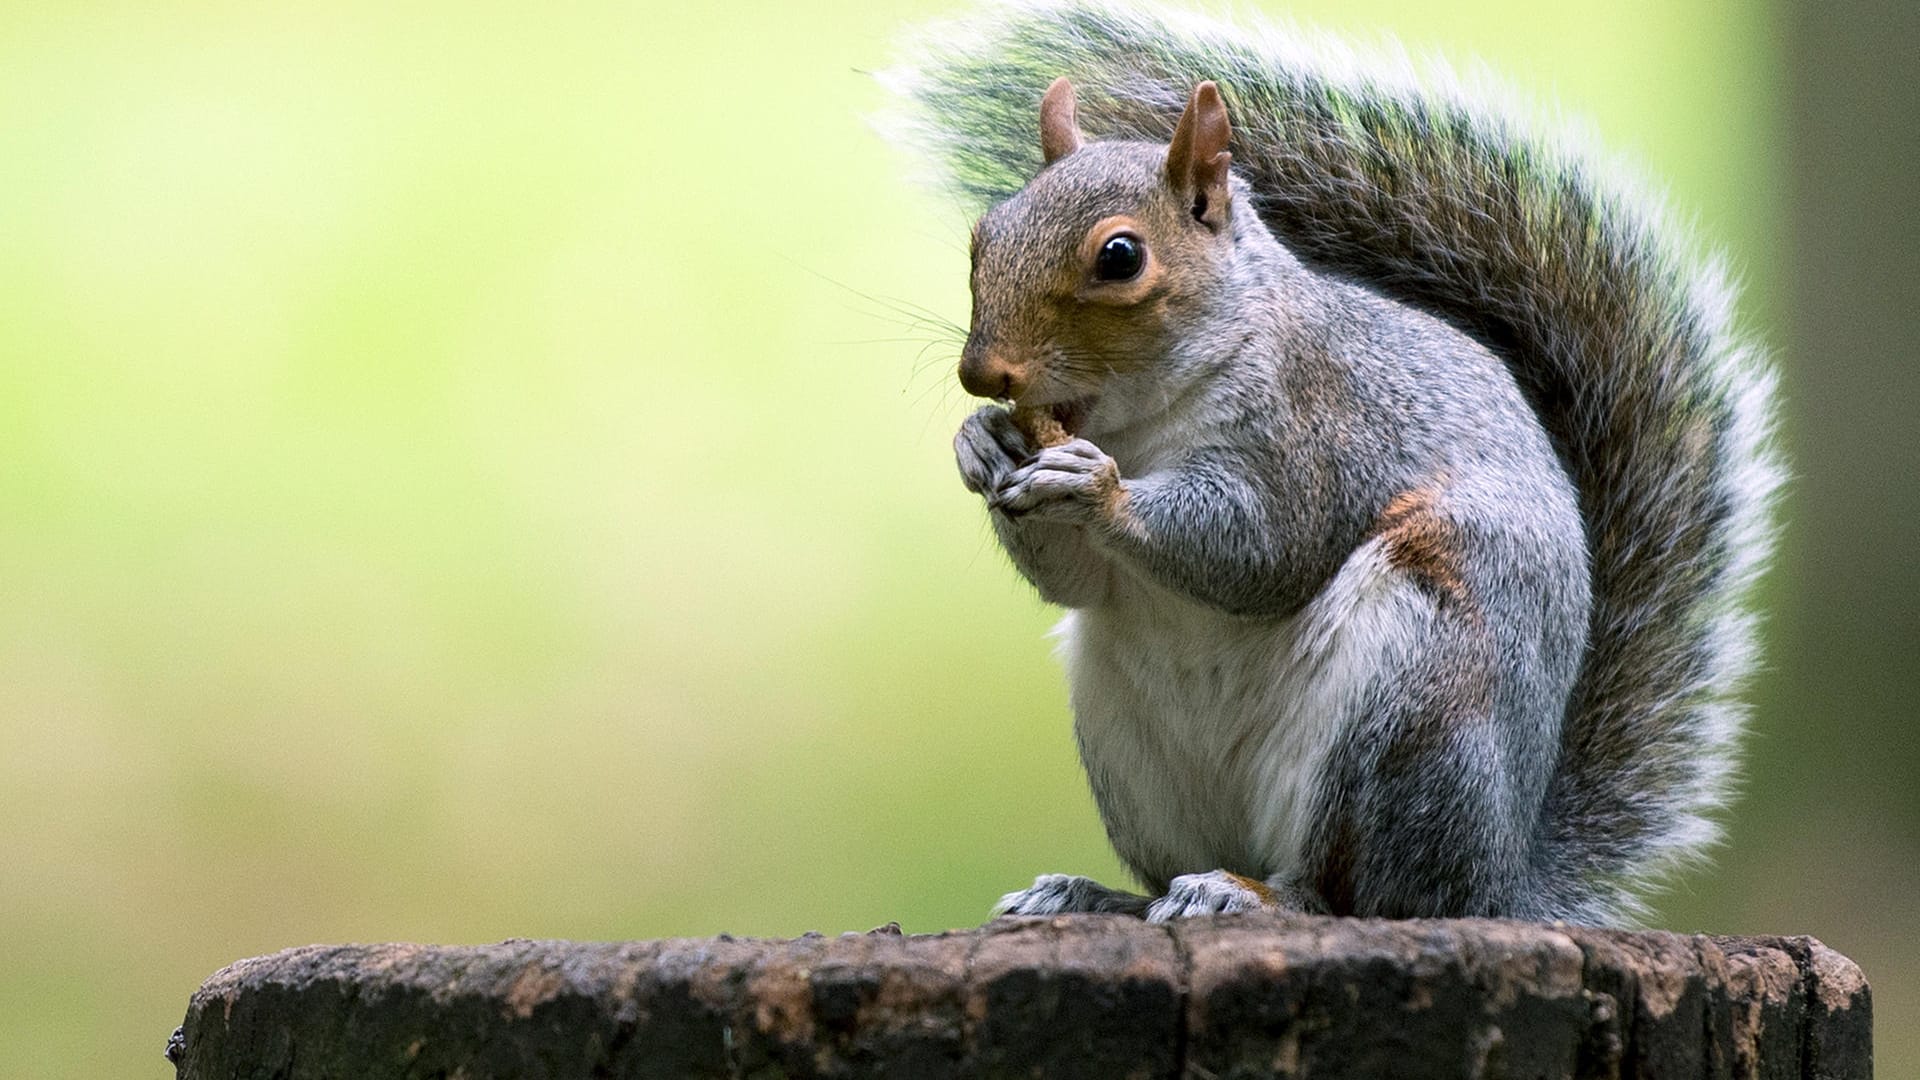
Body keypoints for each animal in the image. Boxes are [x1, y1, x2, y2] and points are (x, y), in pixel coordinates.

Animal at [883, 2, 1781, 926]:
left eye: (1121, 257)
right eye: (984, 235)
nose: (983, 374)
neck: (1142, 422)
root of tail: (1498, 886)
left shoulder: (1319, 430)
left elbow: (1266, 549)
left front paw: (1093, 487)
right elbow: (1079, 581)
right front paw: (983, 442)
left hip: (1411, 706)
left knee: (1352, 894)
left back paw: (1248, 894)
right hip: (1129, 745)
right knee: (1174, 872)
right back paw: (1096, 896)